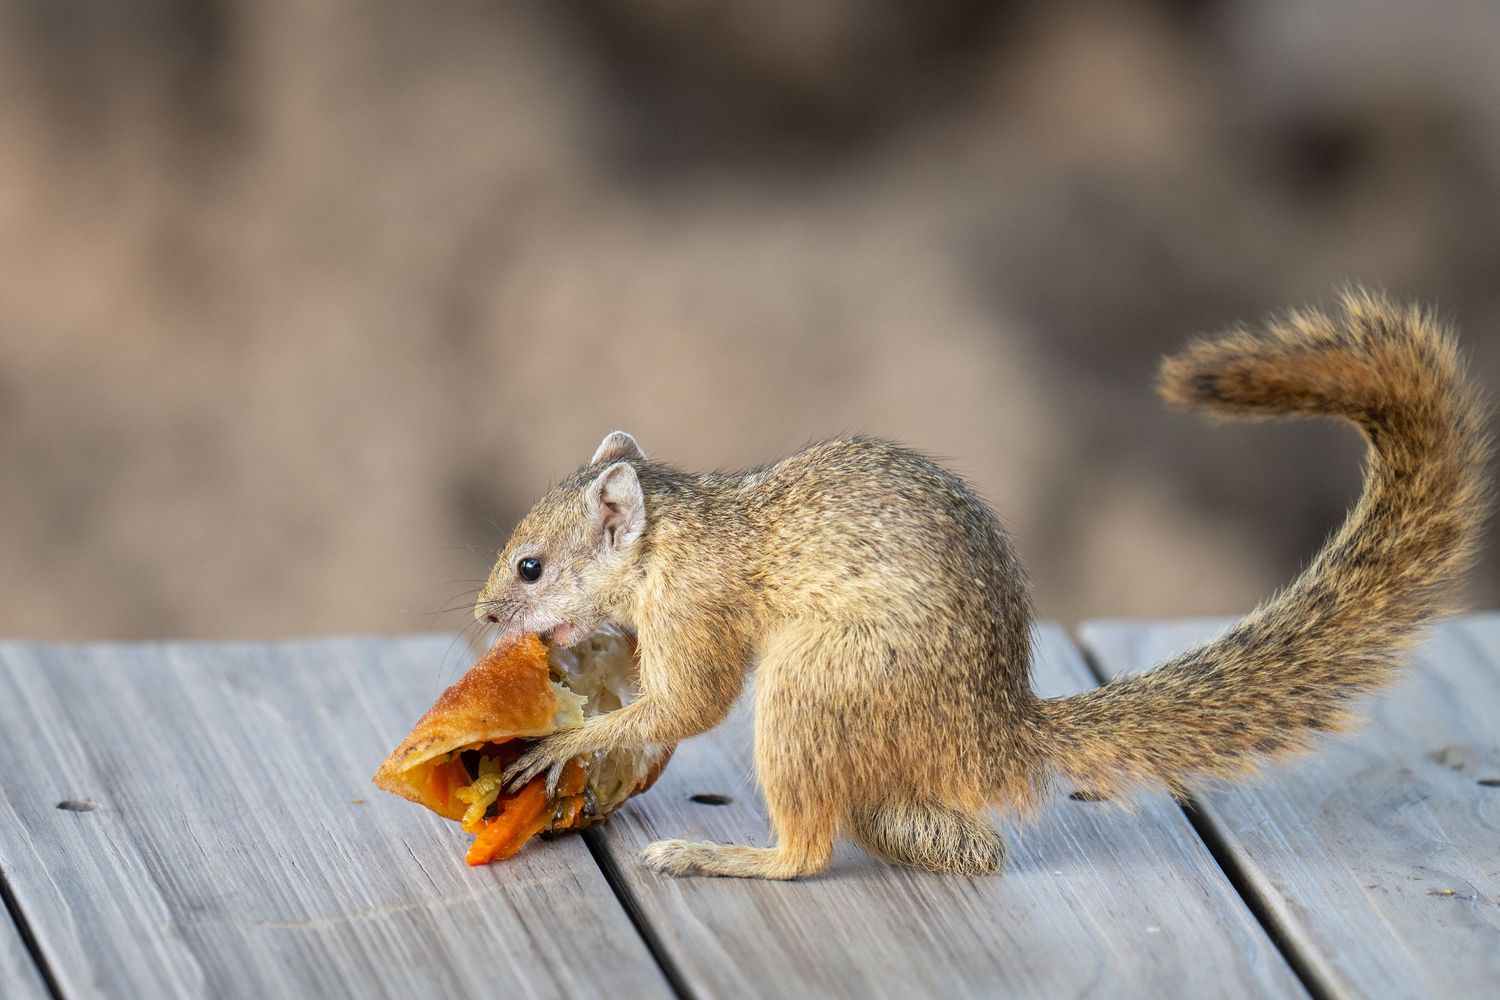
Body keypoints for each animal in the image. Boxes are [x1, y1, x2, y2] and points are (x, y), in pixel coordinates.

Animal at [479, 289, 1490, 880]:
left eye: (532, 564)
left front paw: (560, 743)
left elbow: (688, 702)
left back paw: (718, 857)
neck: (670, 537)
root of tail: (994, 733)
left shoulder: (698, 604)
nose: (488, 613)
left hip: (819, 687)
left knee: (808, 853)